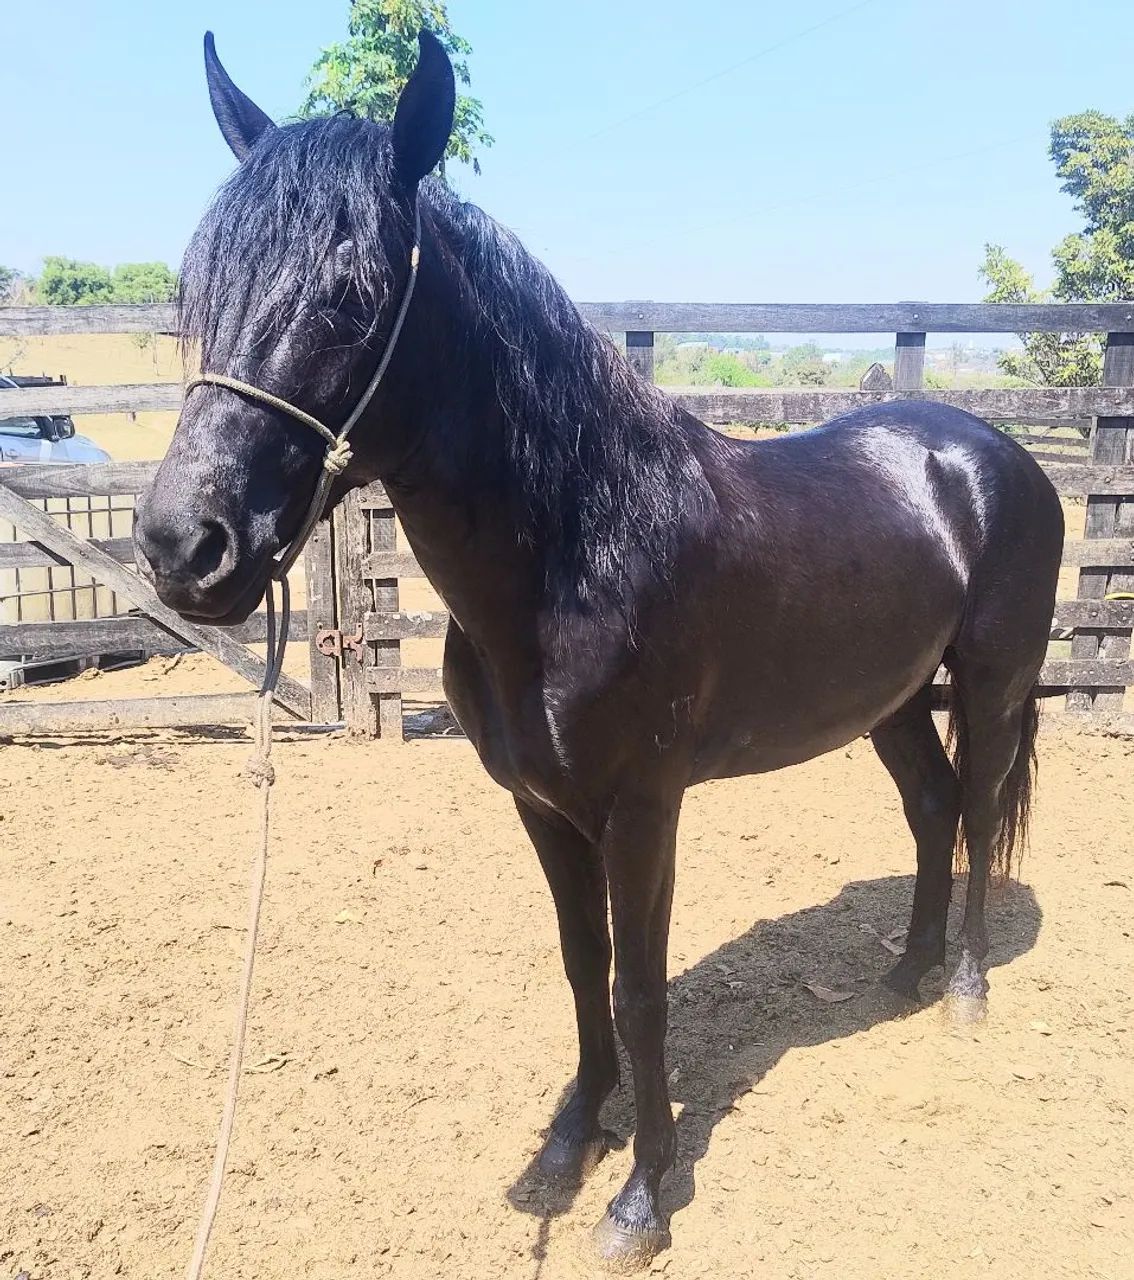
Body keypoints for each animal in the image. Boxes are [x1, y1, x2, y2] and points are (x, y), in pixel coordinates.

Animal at [133, 31, 1065, 1271]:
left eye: (353, 290)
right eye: (205, 289)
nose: (183, 545)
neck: (579, 551)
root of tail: (989, 451)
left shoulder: (641, 807)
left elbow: (638, 985)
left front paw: (641, 1194)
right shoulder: (541, 804)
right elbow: (583, 970)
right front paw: (567, 1146)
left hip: (995, 684)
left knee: (977, 809)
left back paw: (961, 990)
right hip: (894, 699)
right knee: (931, 806)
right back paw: (901, 976)